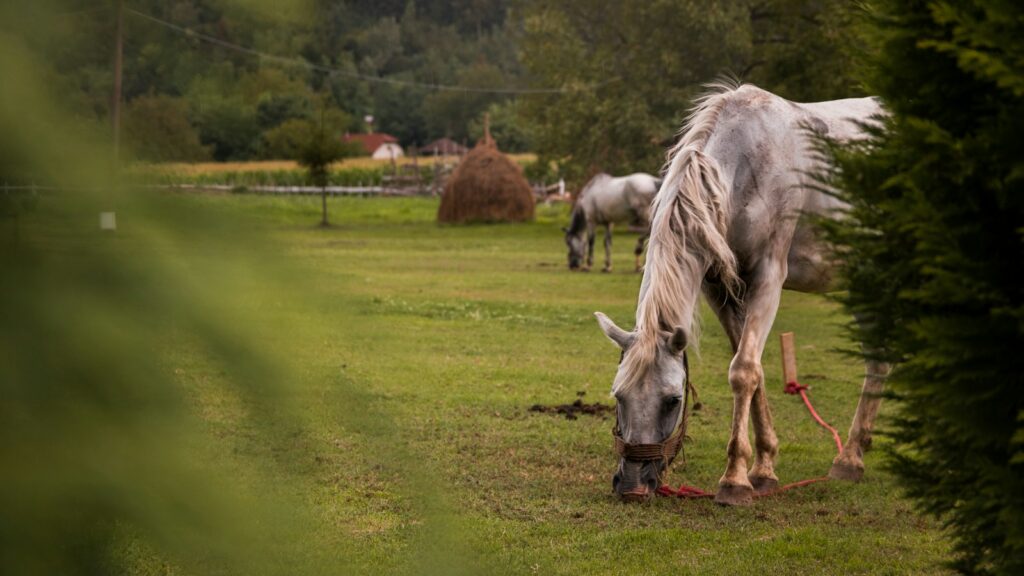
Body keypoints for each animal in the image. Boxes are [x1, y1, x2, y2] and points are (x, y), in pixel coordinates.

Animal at [594, 82, 887, 504]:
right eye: (618, 396)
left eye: (673, 400)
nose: (632, 484)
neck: (744, 170)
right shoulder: (719, 289)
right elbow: (754, 370)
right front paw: (763, 469)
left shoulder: (768, 278)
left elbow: (744, 371)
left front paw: (734, 480)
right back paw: (852, 456)